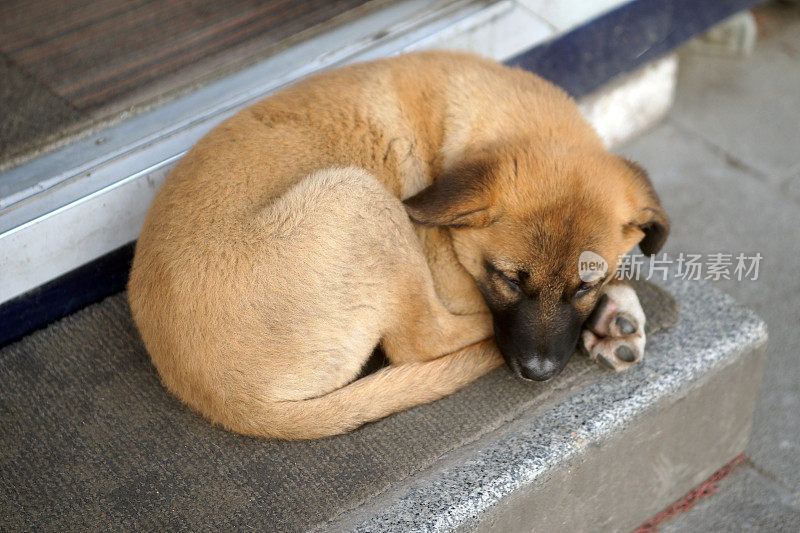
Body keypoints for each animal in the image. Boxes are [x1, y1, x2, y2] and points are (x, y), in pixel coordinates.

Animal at [128, 50, 668, 438]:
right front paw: (610, 314)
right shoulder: (456, 278)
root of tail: (222, 399)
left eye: (583, 288)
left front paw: (609, 311)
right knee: (423, 342)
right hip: (360, 199)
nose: (539, 374)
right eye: (508, 280)